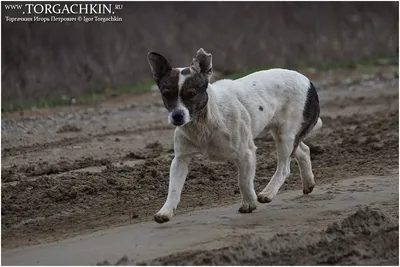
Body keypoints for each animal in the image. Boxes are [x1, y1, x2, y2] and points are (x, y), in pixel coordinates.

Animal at [147, 48, 322, 224]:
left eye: (191, 94)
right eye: (166, 94)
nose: (177, 116)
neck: (204, 120)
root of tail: (308, 81)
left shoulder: (246, 154)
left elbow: (243, 181)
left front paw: (249, 203)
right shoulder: (180, 160)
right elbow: (173, 188)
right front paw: (166, 211)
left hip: (286, 136)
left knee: (285, 167)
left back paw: (268, 193)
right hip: (284, 135)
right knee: (304, 151)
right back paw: (308, 183)